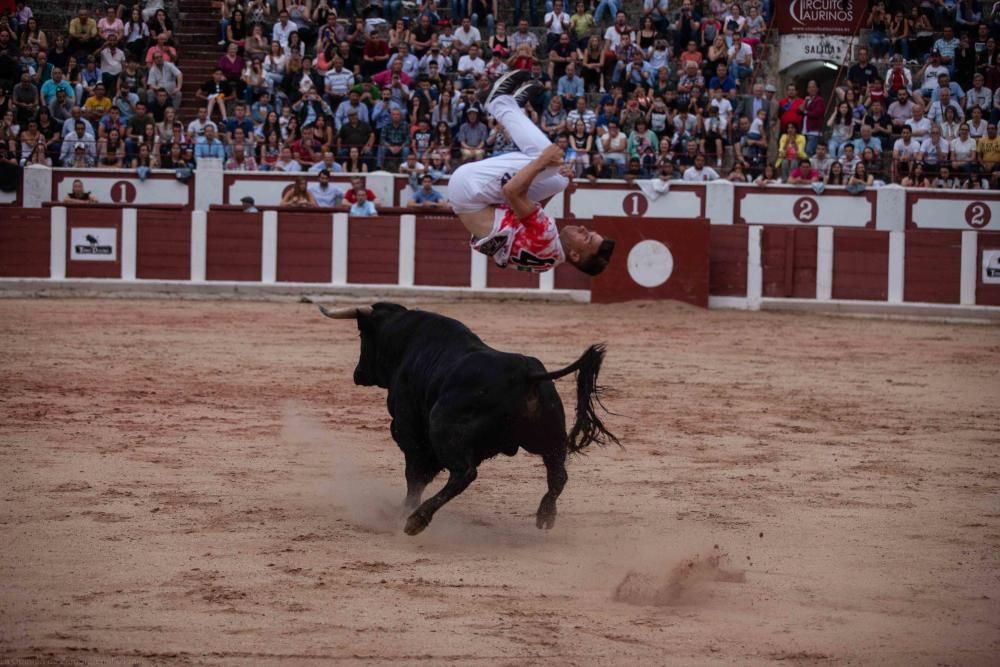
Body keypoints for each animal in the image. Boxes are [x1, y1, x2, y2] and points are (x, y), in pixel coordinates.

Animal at [316, 302, 620, 536]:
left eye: (361, 333)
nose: (358, 374)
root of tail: (525, 373)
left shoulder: (409, 428)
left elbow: (415, 474)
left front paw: (405, 509)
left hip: (442, 425)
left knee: (464, 473)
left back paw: (416, 519)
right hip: (551, 436)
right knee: (558, 474)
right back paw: (545, 515)